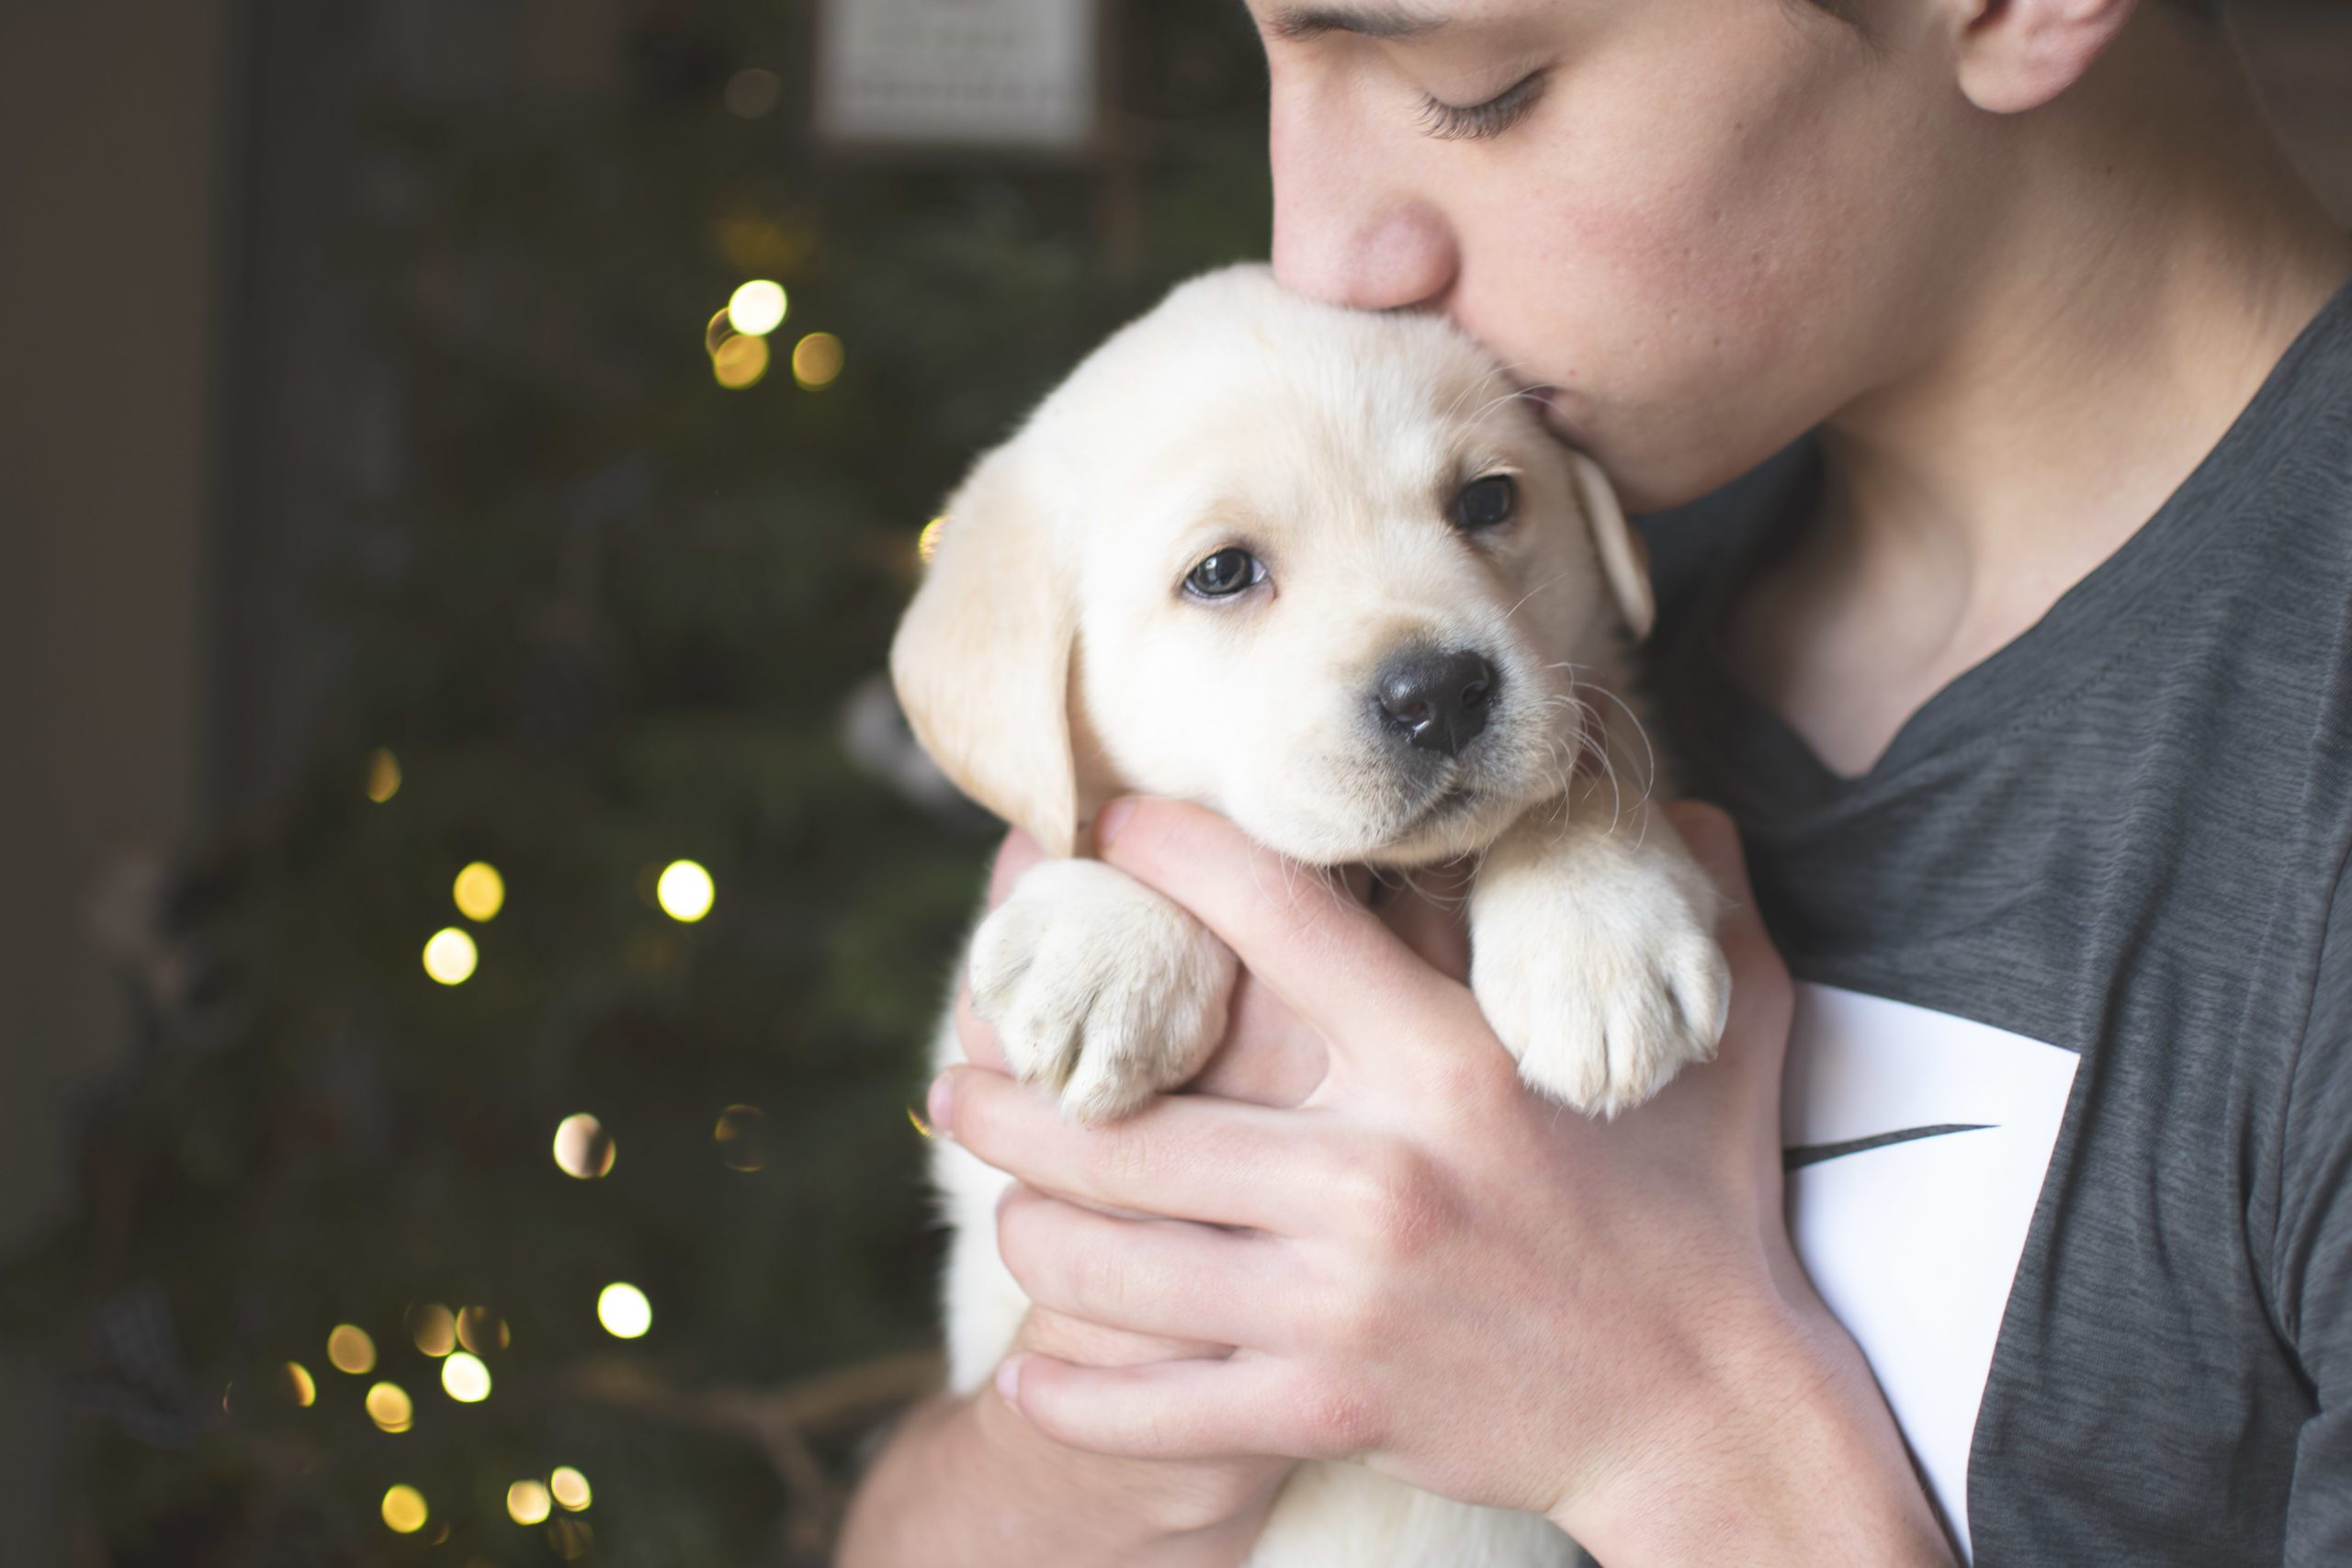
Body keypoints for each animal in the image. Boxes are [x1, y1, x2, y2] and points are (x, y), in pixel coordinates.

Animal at [884, 263, 1731, 1561]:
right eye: (1223, 573)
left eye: (1488, 501)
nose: (1440, 692)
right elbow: (1124, 817)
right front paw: (1103, 948)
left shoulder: (1598, 707)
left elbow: (1583, 771)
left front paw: (1599, 944)